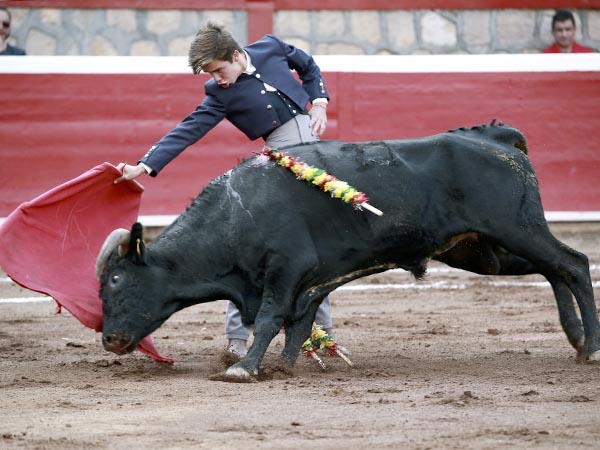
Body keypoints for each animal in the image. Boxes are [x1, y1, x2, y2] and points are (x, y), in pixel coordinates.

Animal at [96, 121, 596, 378]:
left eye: (117, 279)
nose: (109, 339)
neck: (236, 212)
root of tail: (496, 137)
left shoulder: (286, 267)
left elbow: (271, 317)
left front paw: (247, 368)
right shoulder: (307, 279)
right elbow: (298, 322)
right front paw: (285, 367)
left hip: (517, 228)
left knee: (573, 263)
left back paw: (589, 348)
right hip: (482, 251)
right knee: (552, 269)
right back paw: (574, 338)